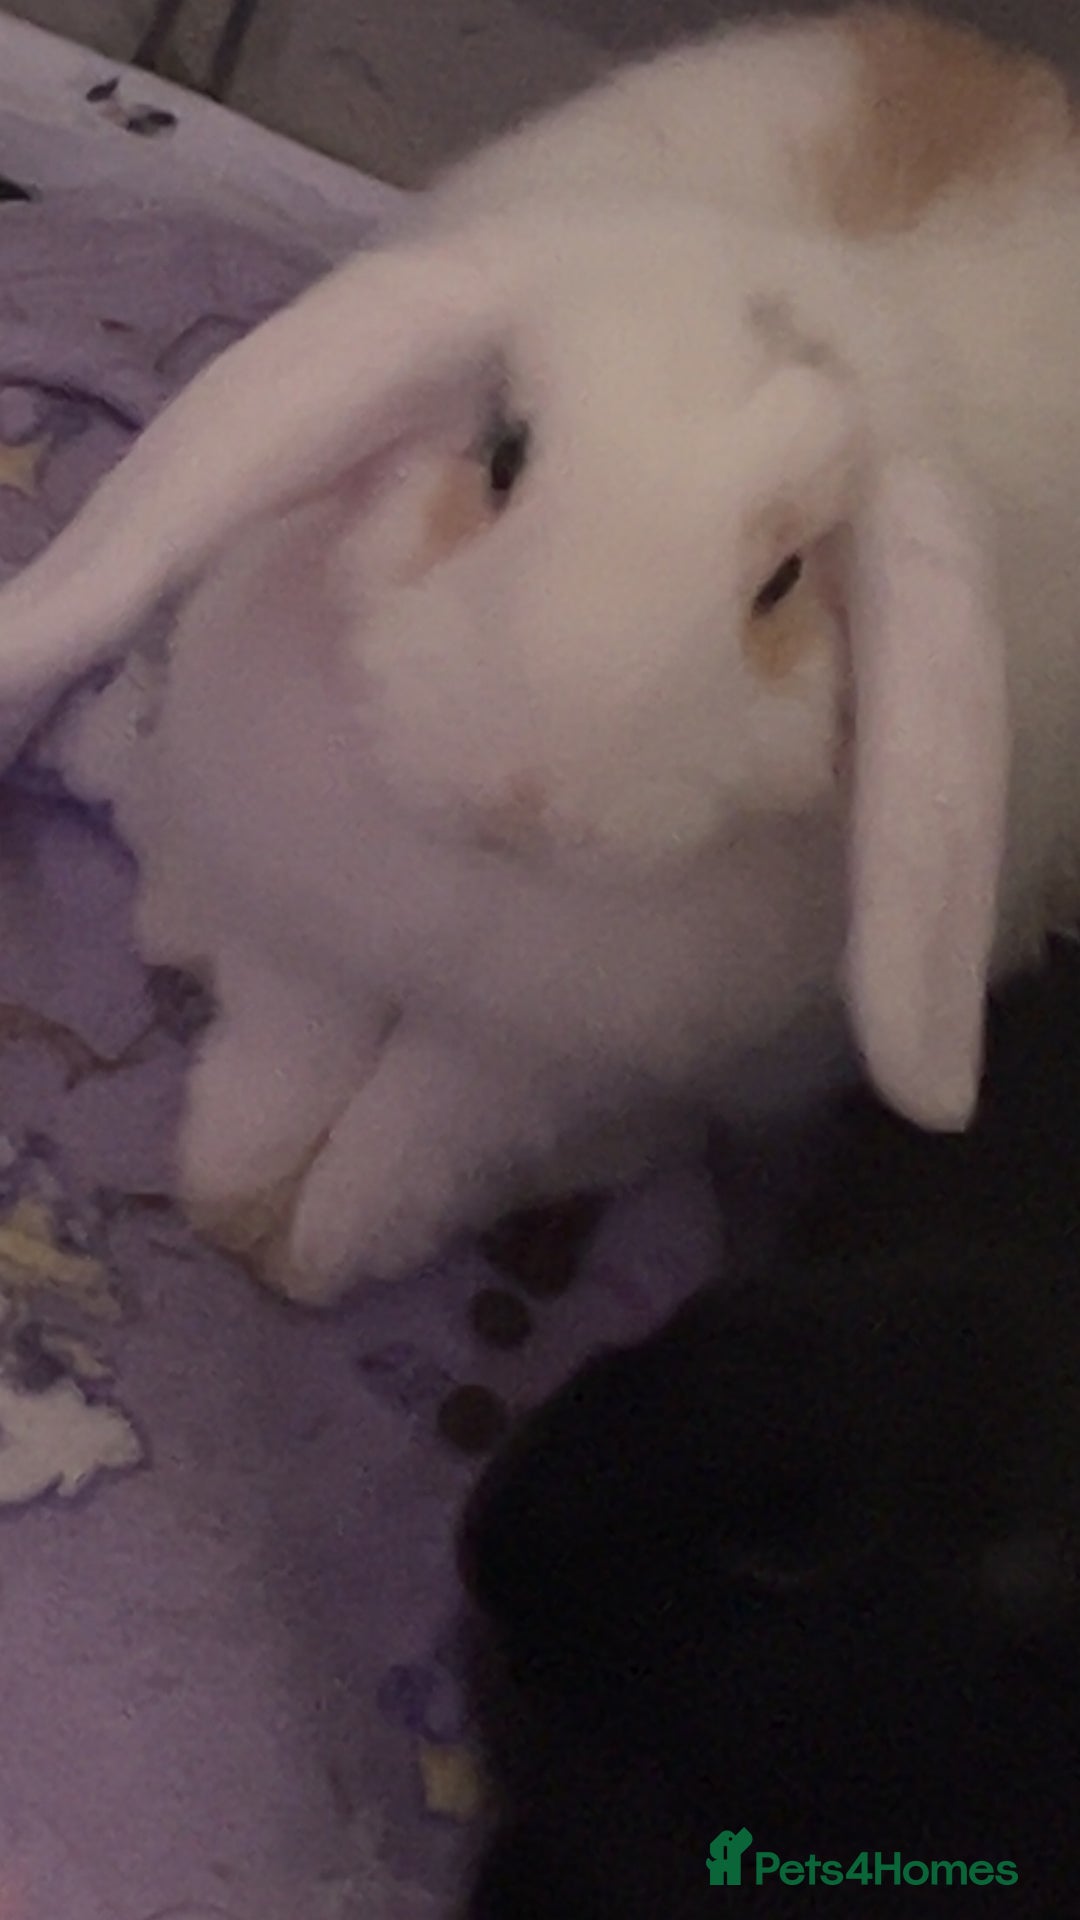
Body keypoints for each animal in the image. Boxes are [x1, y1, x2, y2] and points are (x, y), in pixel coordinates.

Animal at [0, 6, 1075, 1301]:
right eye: (505, 453)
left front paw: (317, 1251)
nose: (529, 795)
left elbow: (413, 1136)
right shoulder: (308, 936)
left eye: (782, 579)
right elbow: (290, 1061)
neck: (480, 884)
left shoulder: (531, 1058)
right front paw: (235, 1198)